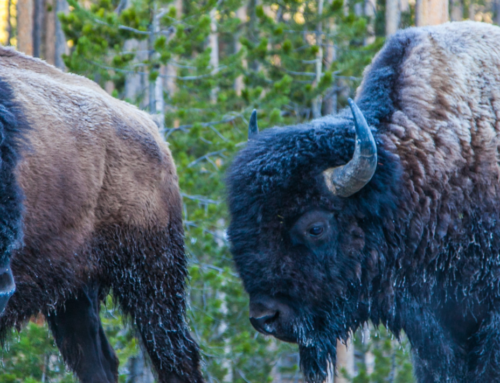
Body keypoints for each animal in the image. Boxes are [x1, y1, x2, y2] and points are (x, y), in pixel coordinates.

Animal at [0, 46, 203, 382]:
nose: (4, 288)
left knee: (177, 357)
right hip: (74, 292)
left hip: (152, 276)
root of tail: (153, 130)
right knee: (98, 361)